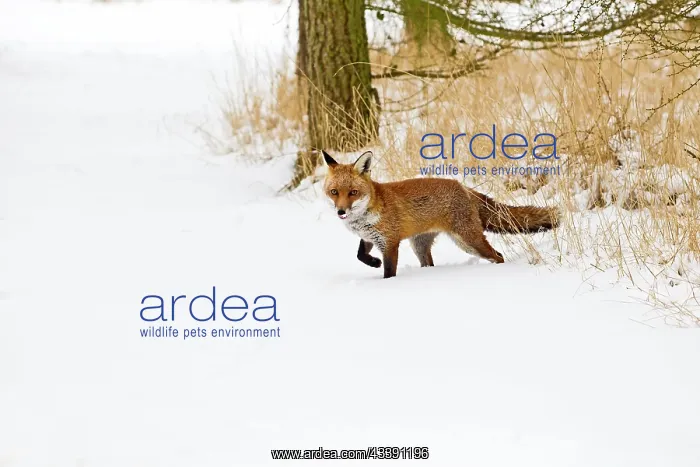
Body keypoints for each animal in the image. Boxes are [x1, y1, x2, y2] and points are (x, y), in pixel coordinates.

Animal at [322, 150, 560, 278]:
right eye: (334, 192)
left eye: (353, 192)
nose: (341, 211)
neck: (364, 217)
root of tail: (464, 188)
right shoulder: (369, 237)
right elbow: (359, 255)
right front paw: (373, 263)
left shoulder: (390, 242)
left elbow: (389, 271)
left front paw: (386, 280)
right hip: (420, 246)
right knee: (430, 263)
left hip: (469, 241)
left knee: (498, 256)